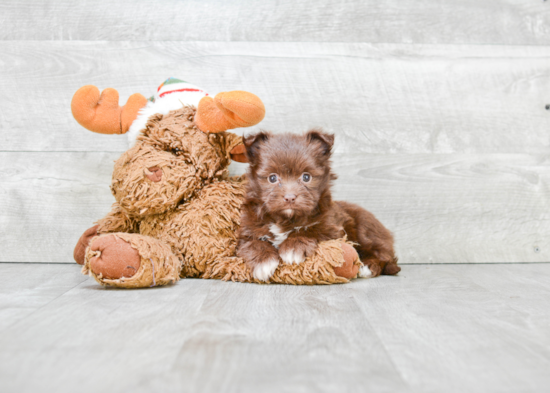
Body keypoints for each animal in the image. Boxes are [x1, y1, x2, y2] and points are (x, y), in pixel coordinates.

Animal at [237, 130, 402, 280]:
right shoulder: (248, 230)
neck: (286, 219)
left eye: (306, 177)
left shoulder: (333, 228)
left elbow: (312, 230)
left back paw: (367, 266)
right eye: (272, 178)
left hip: (365, 227)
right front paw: (263, 262)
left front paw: (293, 246)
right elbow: (251, 243)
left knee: (384, 257)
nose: (290, 197)